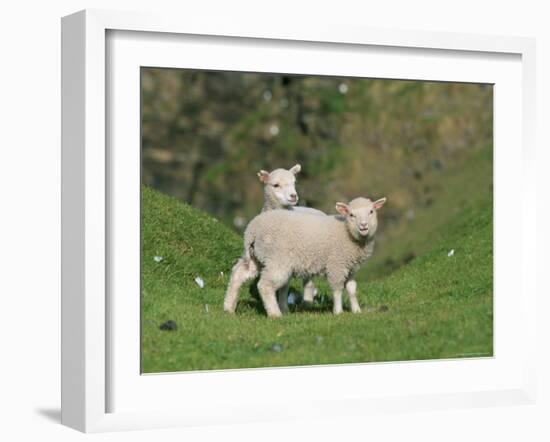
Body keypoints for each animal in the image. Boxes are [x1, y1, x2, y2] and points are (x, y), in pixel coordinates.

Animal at [224, 195, 388, 316]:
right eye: (351, 215)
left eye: (371, 212)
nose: (363, 226)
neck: (346, 232)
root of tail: (252, 230)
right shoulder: (336, 264)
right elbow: (337, 289)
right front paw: (338, 312)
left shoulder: (350, 268)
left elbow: (352, 289)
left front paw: (356, 310)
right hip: (277, 259)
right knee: (265, 285)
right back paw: (275, 314)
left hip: (256, 256)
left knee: (239, 274)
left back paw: (229, 307)